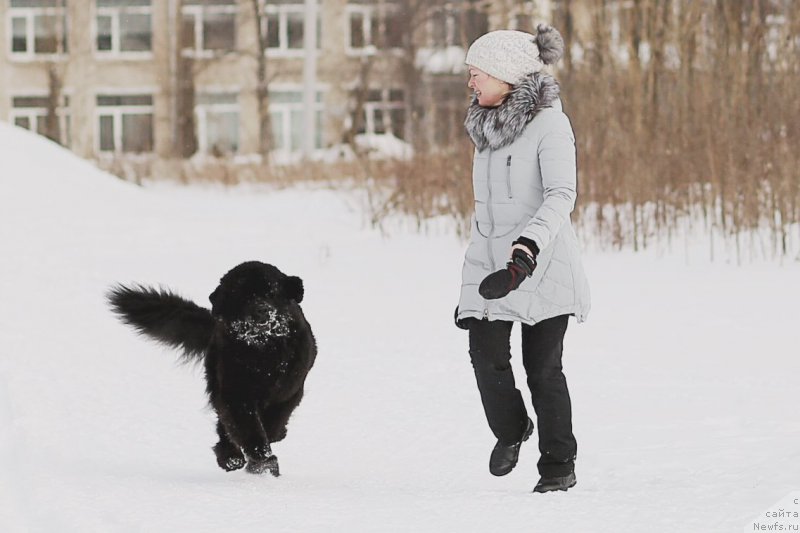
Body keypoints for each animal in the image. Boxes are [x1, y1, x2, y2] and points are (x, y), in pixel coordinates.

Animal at [105, 260, 316, 476]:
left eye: (272, 292)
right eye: (242, 296)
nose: (261, 310)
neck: (263, 350)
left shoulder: (288, 392)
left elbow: (273, 423)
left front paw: (266, 454)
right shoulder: (235, 393)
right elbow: (247, 427)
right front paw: (262, 461)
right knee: (225, 428)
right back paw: (230, 458)